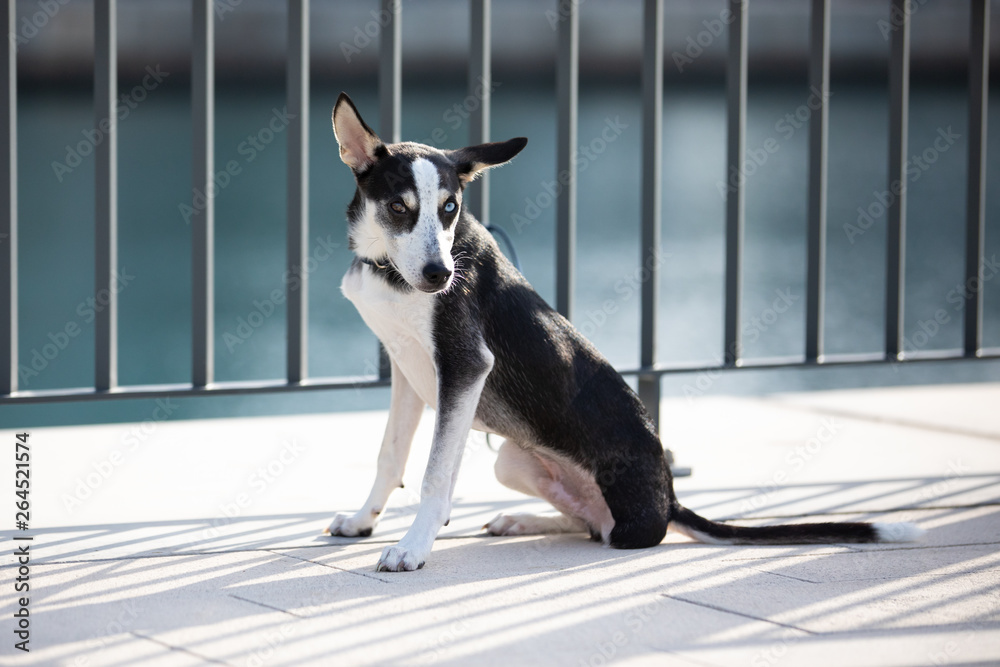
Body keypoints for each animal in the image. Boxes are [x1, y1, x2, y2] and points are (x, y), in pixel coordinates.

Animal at [326, 92, 920, 576]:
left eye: (450, 209)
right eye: (399, 207)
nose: (440, 276)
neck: (387, 268)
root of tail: (669, 498)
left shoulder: (466, 365)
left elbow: (434, 476)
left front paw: (414, 546)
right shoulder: (409, 371)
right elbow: (392, 457)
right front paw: (363, 520)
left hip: (611, 516)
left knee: (610, 533)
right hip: (511, 460)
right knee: (588, 523)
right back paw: (521, 520)